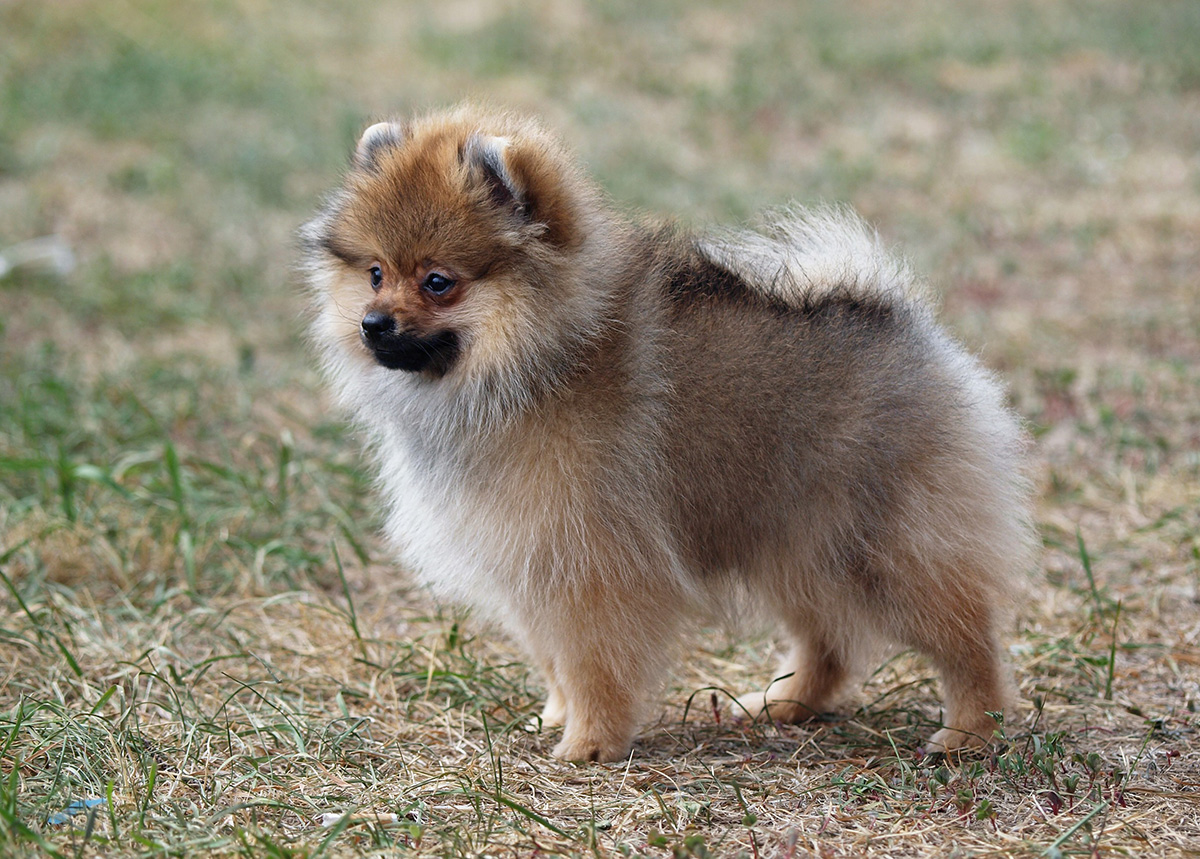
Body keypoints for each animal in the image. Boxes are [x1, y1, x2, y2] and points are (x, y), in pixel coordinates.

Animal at [300, 102, 1032, 763]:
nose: (372, 323)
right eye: (374, 273)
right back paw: (785, 702)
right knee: (829, 639)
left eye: (437, 281)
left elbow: (593, 660)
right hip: (796, 538)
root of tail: (897, 315)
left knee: (965, 635)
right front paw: (558, 715)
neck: (540, 363)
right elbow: (555, 657)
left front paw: (589, 743)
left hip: (884, 544)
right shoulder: (530, 557)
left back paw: (971, 731)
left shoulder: (591, 561)